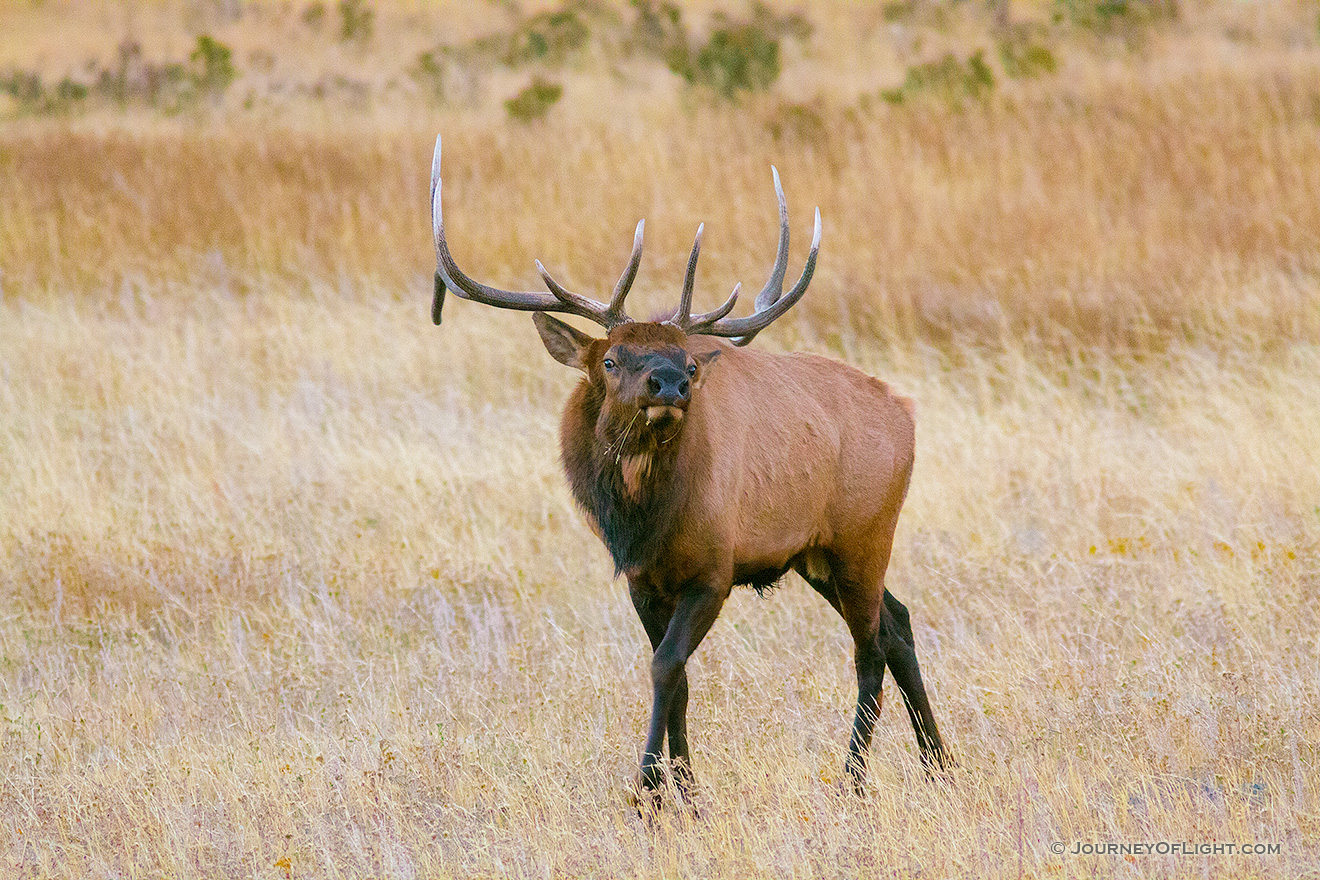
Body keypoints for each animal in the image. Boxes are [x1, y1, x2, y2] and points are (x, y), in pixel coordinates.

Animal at [430, 135, 950, 796]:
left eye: (691, 362)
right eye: (611, 359)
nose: (672, 383)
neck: (644, 522)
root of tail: (907, 413)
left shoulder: (713, 571)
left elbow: (665, 667)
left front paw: (649, 789)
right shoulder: (643, 580)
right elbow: (676, 678)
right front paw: (686, 788)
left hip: (863, 536)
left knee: (870, 647)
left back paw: (853, 779)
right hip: (819, 555)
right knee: (898, 623)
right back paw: (940, 763)